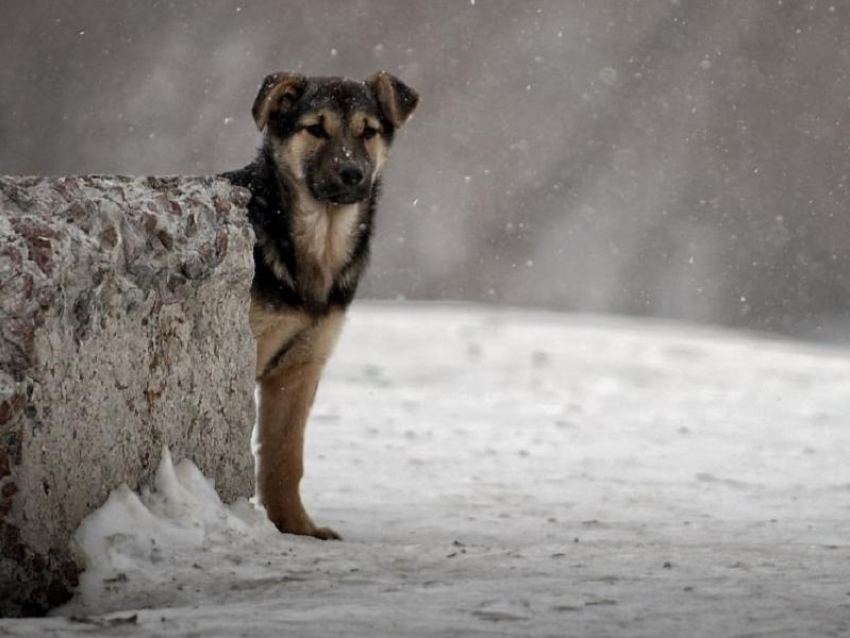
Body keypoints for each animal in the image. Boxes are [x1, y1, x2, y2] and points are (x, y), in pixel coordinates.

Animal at [220, 72, 416, 544]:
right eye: (315, 129)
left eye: (368, 131)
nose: (352, 173)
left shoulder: (300, 367)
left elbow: (285, 457)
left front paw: (297, 528)